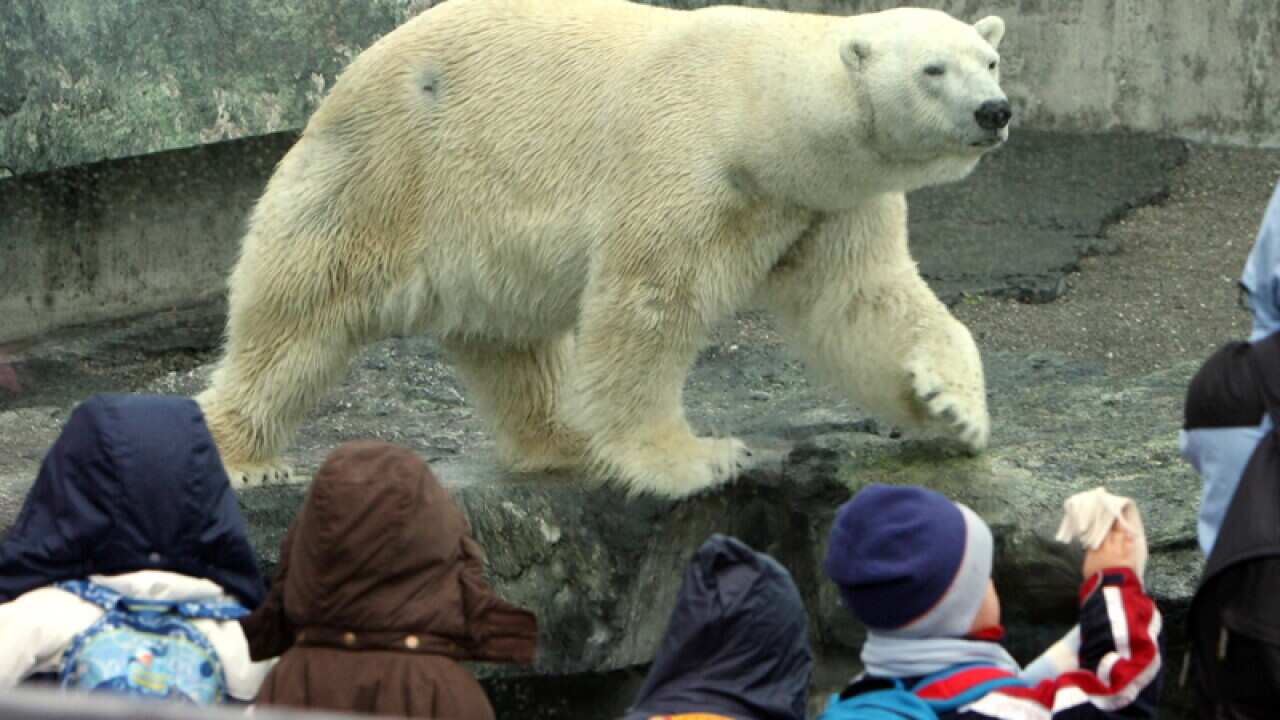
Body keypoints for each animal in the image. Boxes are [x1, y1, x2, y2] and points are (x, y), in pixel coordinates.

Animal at [196, 0, 1011, 498]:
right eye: (932, 69)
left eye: (989, 59)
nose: (994, 111)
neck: (759, 111)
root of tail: (345, 78)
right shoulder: (683, 158)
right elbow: (648, 305)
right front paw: (697, 459)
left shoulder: (828, 200)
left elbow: (865, 298)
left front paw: (953, 410)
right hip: (387, 173)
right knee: (300, 314)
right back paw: (242, 456)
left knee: (514, 344)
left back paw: (564, 439)